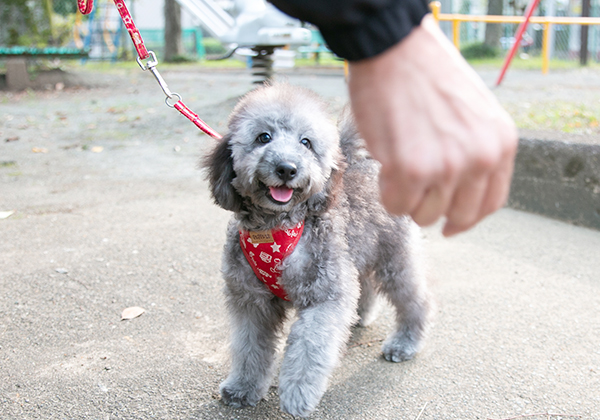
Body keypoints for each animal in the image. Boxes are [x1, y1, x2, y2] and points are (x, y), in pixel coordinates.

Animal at [204, 82, 428, 416]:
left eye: (306, 142)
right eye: (263, 137)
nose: (287, 168)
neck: (275, 229)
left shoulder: (324, 297)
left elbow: (310, 348)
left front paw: (298, 395)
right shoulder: (250, 301)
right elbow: (248, 347)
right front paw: (242, 388)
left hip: (394, 255)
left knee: (414, 298)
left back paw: (405, 343)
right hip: (358, 251)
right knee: (365, 286)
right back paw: (360, 316)